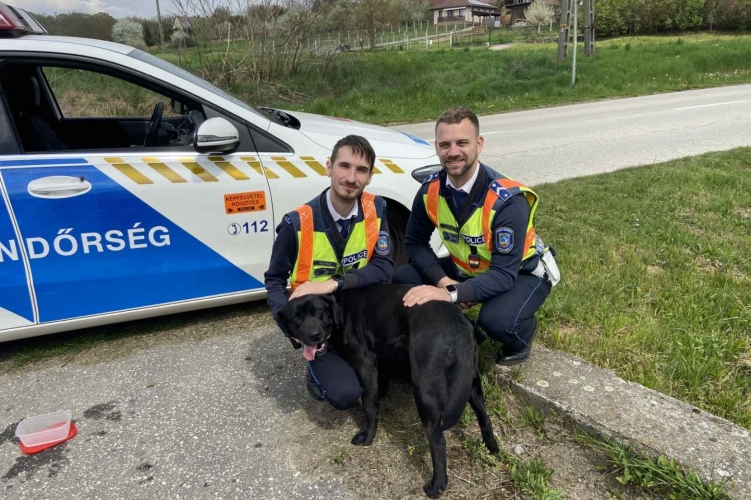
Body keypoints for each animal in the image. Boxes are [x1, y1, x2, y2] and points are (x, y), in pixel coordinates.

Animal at [277, 283, 499, 497]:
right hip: (470, 381)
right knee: (484, 417)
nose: (314, 336)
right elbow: (378, 388)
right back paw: (492, 448)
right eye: (296, 318)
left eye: (319, 311)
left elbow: (369, 405)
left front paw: (367, 437)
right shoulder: (379, 358)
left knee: (438, 441)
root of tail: (458, 323)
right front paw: (382, 394)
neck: (339, 310)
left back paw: (437, 486)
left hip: (425, 391)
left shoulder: (365, 364)